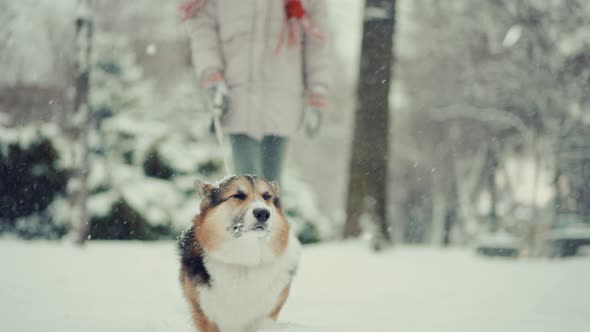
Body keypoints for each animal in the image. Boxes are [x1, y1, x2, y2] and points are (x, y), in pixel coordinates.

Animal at [179, 175, 300, 330]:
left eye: (267, 196)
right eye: (238, 195)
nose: (263, 213)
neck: (244, 260)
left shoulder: (267, 315)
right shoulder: (205, 315)